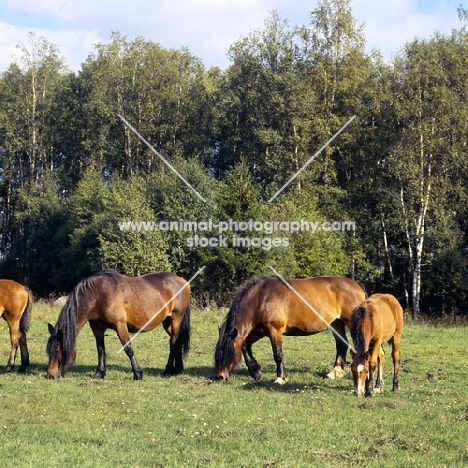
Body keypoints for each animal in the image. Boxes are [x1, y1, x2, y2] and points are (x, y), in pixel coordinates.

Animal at [46, 268, 191, 378]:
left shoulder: (120, 326)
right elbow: (100, 349)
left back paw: (168, 370)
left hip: (176, 318)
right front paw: (99, 373)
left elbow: (128, 349)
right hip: (167, 322)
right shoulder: (97, 328)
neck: (98, 295)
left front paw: (138, 374)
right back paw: (177, 369)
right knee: (177, 341)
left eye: (57, 349)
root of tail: (181, 280)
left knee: (173, 342)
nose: (51, 375)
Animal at [214, 276, 368, 382]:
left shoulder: (274, 331)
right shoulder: (259, 332)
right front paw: (256, 372)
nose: (219, 376)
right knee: (342, 344)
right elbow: (245, 345)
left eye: (227, 352)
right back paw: (335, 372)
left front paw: (281, 378)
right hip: (336, 323)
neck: (261, 299)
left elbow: (278, 355)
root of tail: (357, 285)